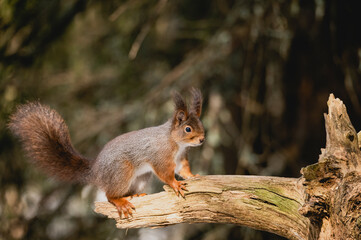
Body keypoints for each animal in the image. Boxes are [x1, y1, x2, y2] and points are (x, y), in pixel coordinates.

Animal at [8, 87, 204, 218]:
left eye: (200, 124)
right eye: (187, 129)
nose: (202, 139)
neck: (176, 142)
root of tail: (96, 171)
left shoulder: (180, 157)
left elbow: (183, 169)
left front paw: (193, 175)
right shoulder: (160, 155)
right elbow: (165, 173)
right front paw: (175, 184)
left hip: (140, 178)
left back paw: (134, 195)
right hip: (122, 171)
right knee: (110, 195)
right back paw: (121, 202)